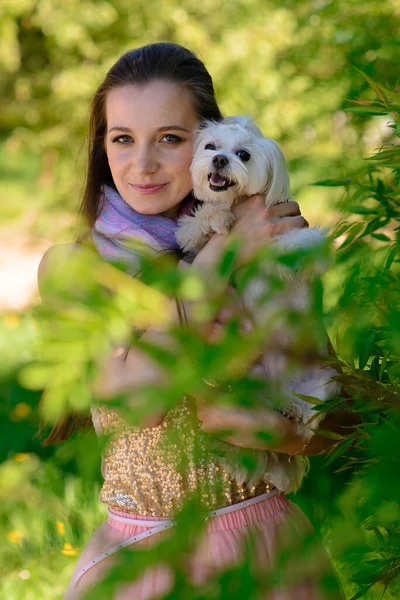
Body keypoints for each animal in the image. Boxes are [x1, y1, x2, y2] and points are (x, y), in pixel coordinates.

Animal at [177, 116, 340, 440]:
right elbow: (196, 224)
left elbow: (302, 244)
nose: (219, 159)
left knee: (310, 415)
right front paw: (217, 217)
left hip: (326, 381)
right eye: (210, 146)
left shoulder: (301, 235)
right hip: (252, 374)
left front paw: (283, 259)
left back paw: (294, 409)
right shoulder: (193, 238)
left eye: (243, 155)